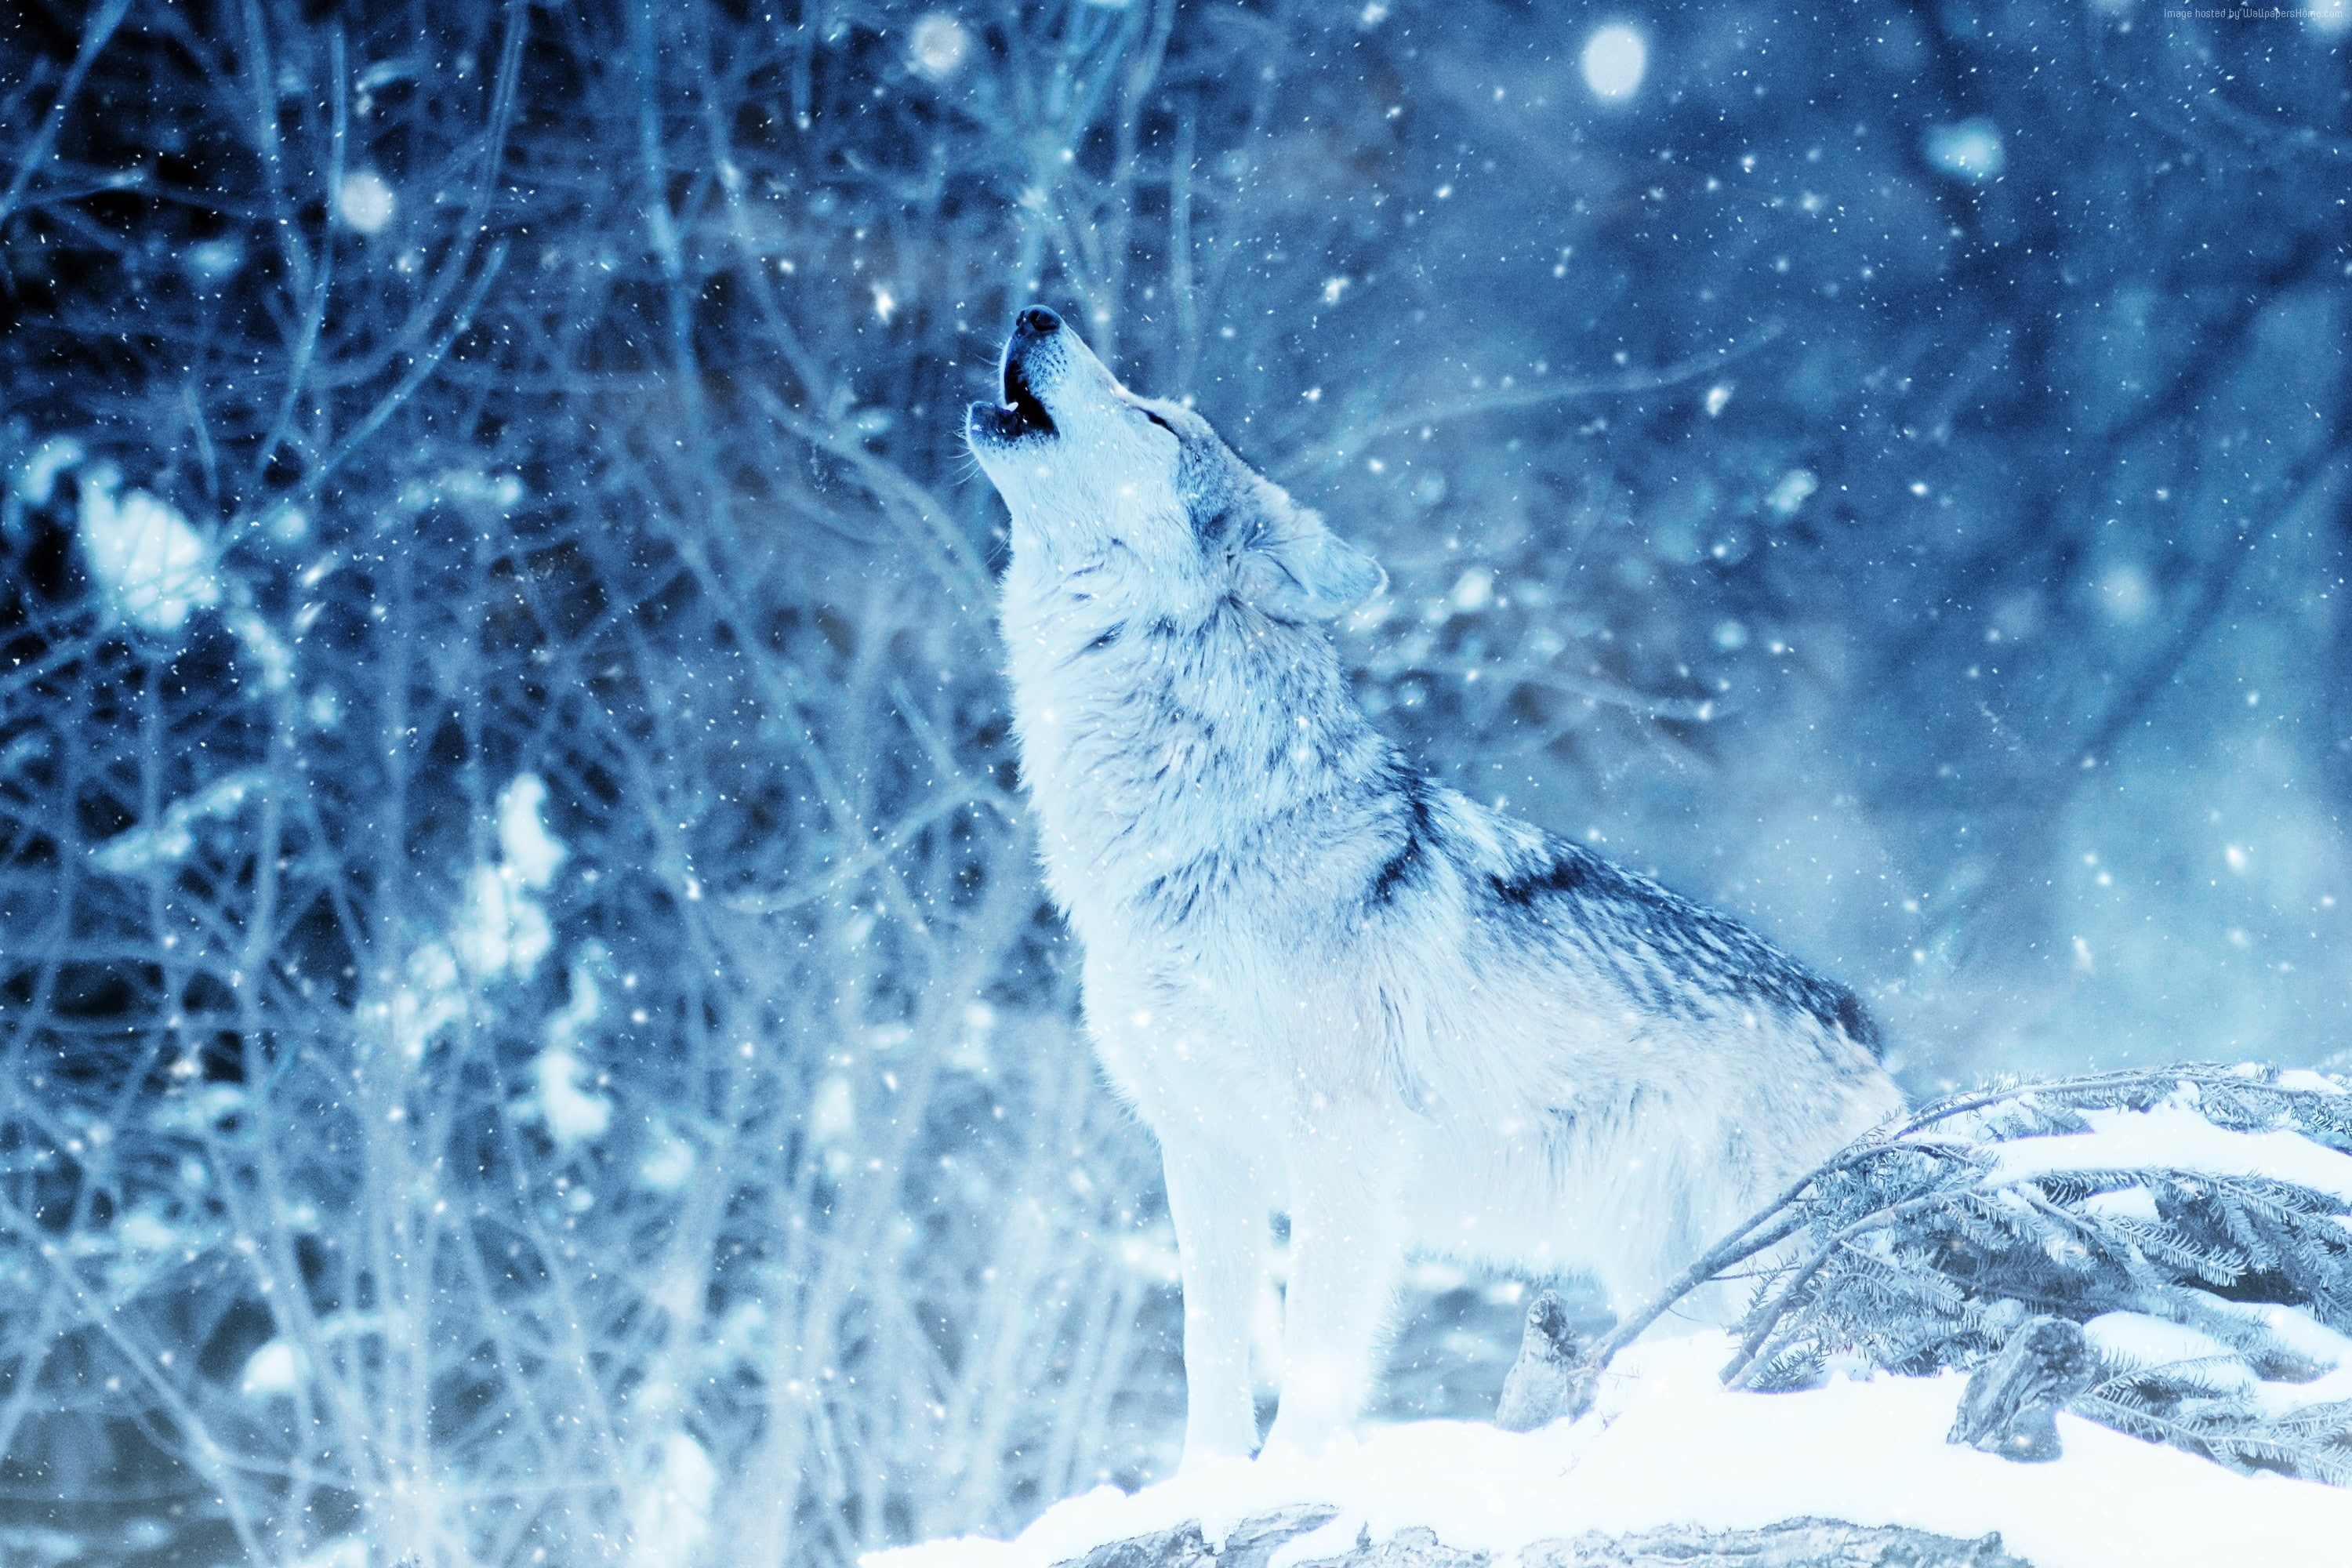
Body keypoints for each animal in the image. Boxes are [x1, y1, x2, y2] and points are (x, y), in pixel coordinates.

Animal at [966, 307, 1904, 1467]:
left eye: (1154, 418)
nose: (1036, 312)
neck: (1202, 829)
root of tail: (1864, 1025)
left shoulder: (1343, 1151)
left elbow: (1317, 1359)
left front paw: (1291, 1480)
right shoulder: (1203, 1151)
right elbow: (1209, 1351)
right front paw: (1207, 1484)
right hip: (1668, 1276)